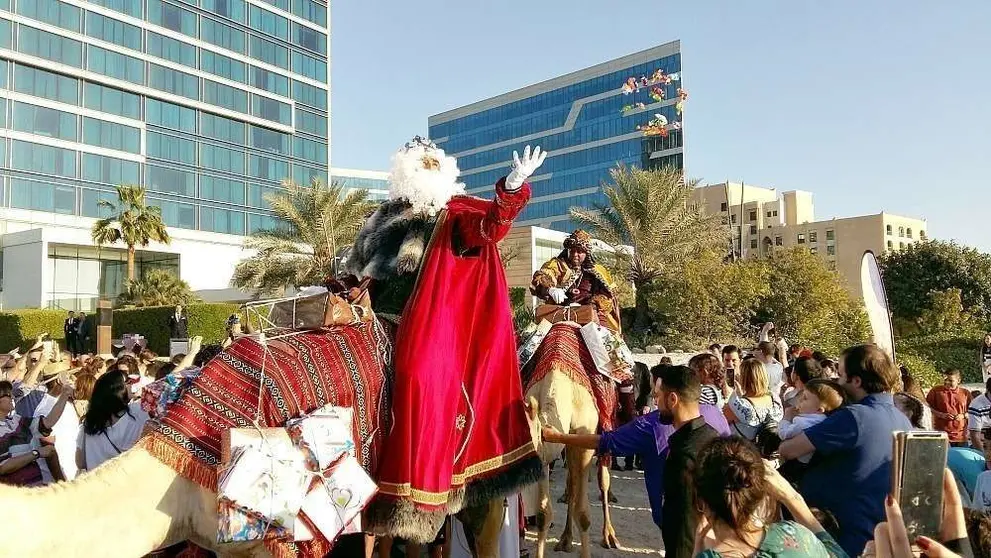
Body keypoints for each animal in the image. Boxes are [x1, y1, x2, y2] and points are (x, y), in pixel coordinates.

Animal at [528, 368, 620, 558]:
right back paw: (566, 540)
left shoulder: (584, 440)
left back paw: (609, 536)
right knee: (571, 485)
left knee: (603, 480)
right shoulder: (545, 453)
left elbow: (583, 514)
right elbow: (542, 515)